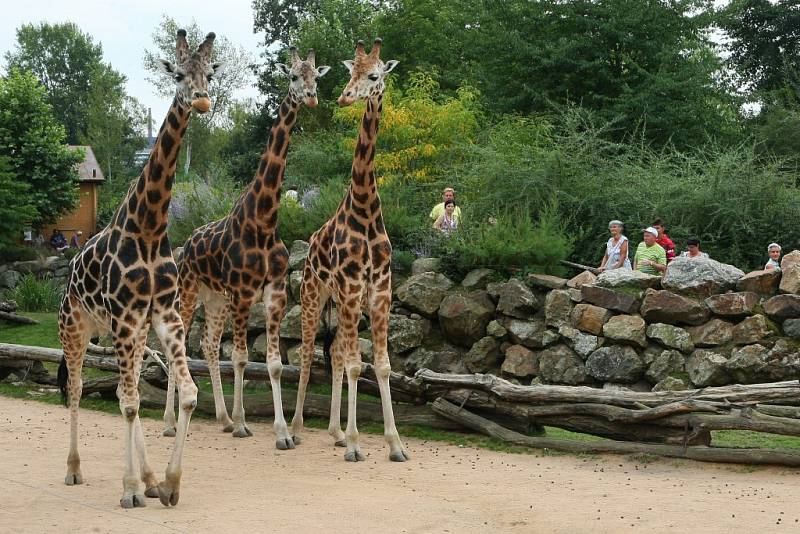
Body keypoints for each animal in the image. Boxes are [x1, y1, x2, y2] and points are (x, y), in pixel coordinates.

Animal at [57, 30, 222, 510]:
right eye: (179, 74)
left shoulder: (162, 316)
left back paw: (148, 479)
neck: (148, 228)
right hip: (74, 329)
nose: (201, 101)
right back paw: (74, 470)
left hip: (126, 331)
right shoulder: (128, 318)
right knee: (79, 389)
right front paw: (129, 489)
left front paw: (168, 483)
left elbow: (187, 394)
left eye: (209, 74)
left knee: (120, 388)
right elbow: (130, 404)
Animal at [163, 46, 332, 450]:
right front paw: (243, 423)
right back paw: (170, 422)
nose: (311, 97)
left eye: (315, 77)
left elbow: (273, 363)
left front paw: (282, 433)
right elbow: (240, 358)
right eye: (293, 77)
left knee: (209, 345)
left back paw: (222, 418)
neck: (264, 220)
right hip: (189, 292)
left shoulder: (273, 293)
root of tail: (186, 243)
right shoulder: (242, 293)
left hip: (216, 299)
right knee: (183, 345)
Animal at [290, 38, 410, 464]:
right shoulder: (355, 287)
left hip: (339, 301)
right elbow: (360, 365)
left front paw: (395, 444)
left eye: (374, 75)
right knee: (308, 353)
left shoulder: (380, 291)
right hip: (314, 295)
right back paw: (295, 430)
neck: (365, 209)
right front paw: (359, 444)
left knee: (337, 354)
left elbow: (382, 366)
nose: (343, 97)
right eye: (349, 73)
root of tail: (308, 246)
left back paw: (336, 432)